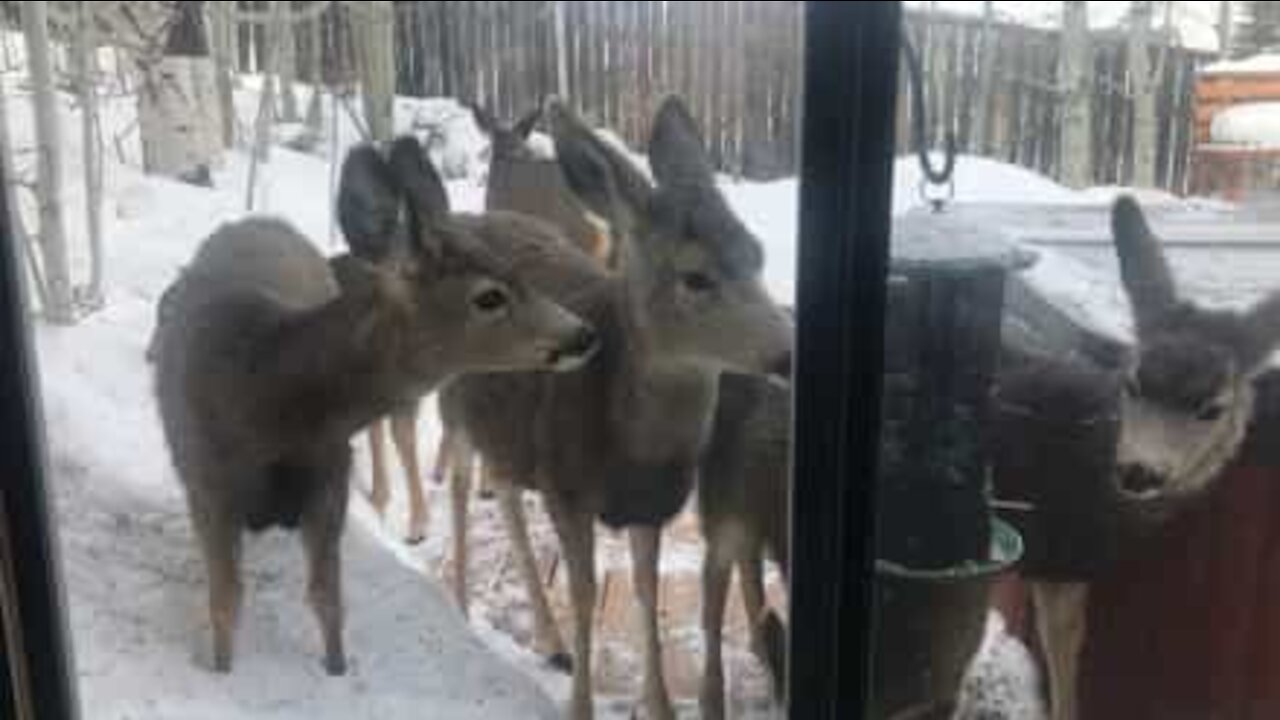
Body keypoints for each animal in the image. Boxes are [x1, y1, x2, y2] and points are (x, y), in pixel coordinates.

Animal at [149, 133, 599, 671]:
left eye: (519, 272)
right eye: (489, 296)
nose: (584, 334)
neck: (264, 396)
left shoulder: (330, 484)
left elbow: (328, 602)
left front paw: (336, 669)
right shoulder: (207, 487)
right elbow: (225, 604)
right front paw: (220, 669)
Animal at [445, 96, 793, 717]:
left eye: (757, 254)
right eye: (695, 276)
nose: (789, 351)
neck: (632, 444)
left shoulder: (650, 505)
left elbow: (645, 590)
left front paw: (660, 704)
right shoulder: (566, 488)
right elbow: (585, 595)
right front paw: (580, 704)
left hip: (510, 429)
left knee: (504, 494)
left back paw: (548, 639)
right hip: (455, 402)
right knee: (461, 489)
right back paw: (461, 604)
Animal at [993, 194, 1280, 717]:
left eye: (1211, 408)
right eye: (1134, 382)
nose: (1139, 471)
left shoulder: (1058, 557)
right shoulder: (1061, 553)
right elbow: (1065, 657)